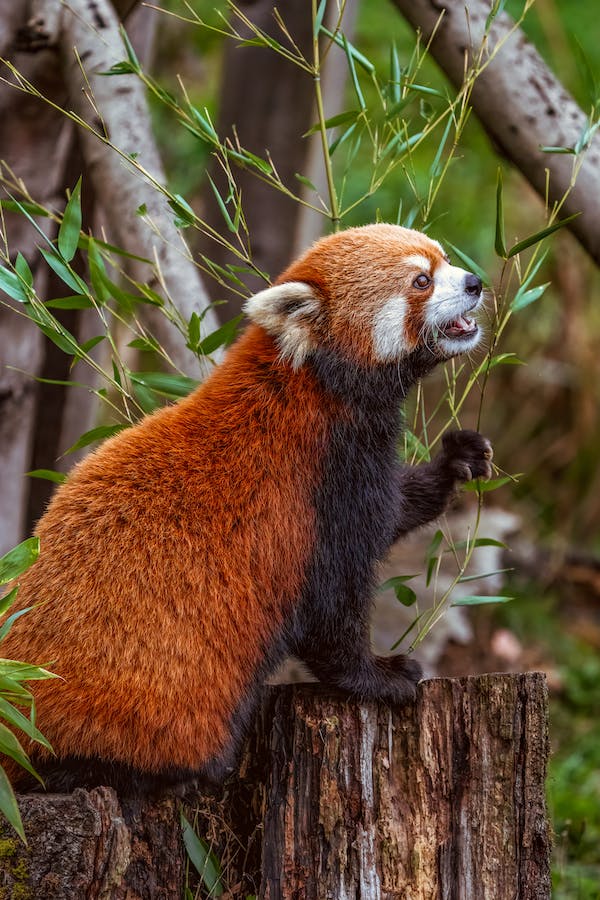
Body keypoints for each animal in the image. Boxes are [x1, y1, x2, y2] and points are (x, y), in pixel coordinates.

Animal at [2, 225, 492, 796]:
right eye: (421, 281)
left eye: (444, 258)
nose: (475, 282)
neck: (315, 387)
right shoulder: (317, 495)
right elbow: (330, 609)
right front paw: (379, 677)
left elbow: (396, 507)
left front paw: (456, 461)